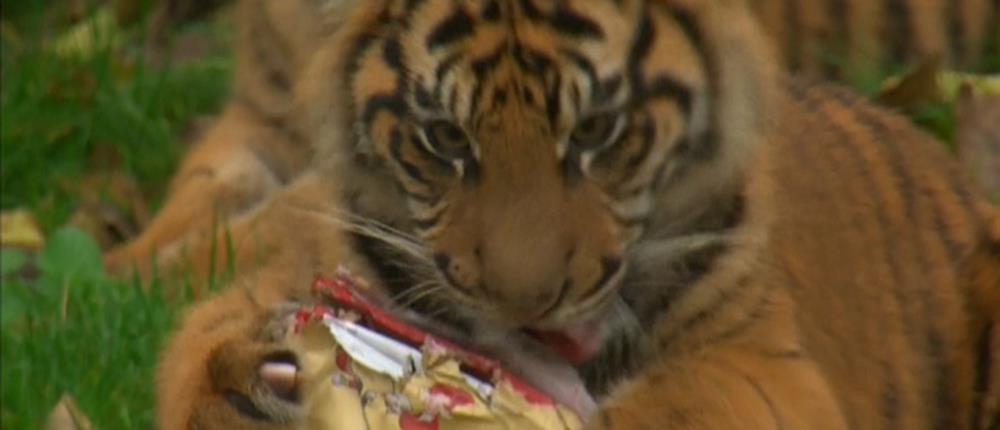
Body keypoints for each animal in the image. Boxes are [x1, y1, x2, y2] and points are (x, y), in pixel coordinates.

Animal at [105, 0, 1000, 429]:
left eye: (600, 134)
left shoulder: (769, 366)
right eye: (444, 139)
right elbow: (201, 254)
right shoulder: (260, 124)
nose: (526, 302)